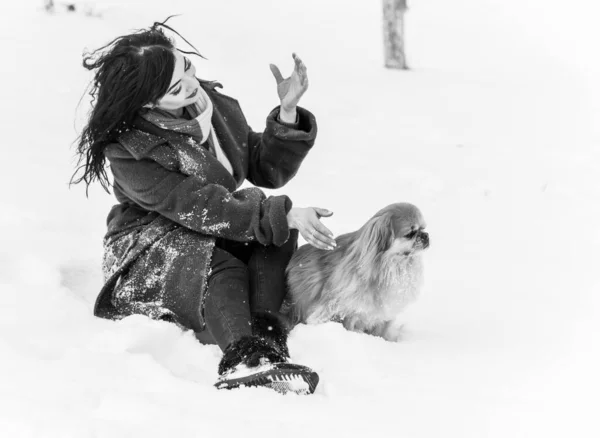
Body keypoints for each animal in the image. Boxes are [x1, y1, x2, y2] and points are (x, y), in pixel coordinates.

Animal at [284, 202, 428, 342]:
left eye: (423, 228)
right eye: (410, 233)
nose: (426, 236)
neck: (393, 266)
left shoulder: (386, 312)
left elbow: (383, 330)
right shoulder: (347, 310)